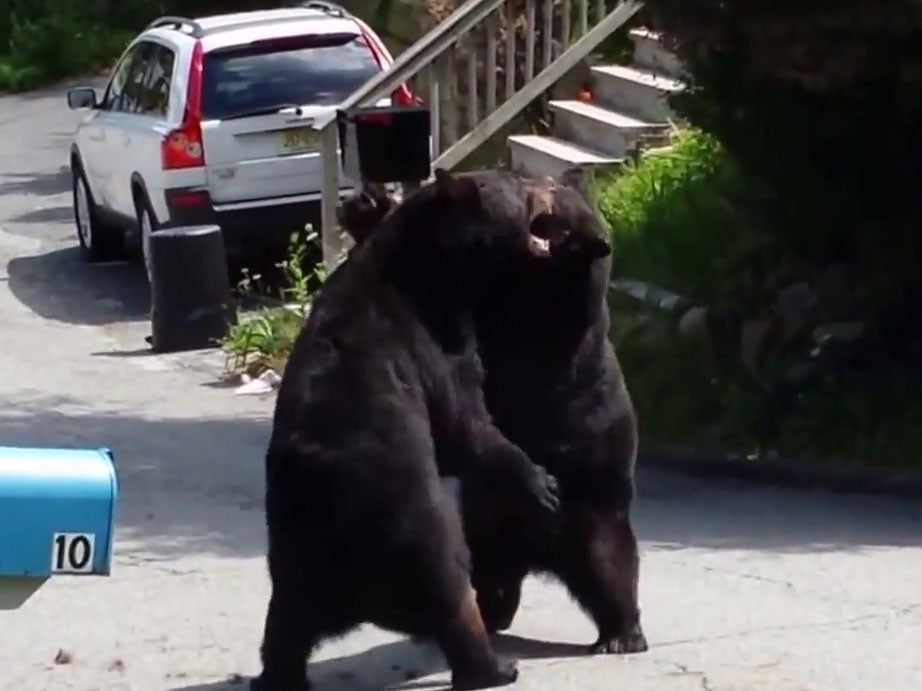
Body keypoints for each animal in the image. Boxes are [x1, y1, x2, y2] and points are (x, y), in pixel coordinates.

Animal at [255, 169, 564, 691]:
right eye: (517, 182)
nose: (549, 183)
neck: (437, 272)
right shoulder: (433, 344)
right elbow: (464, 425)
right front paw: (540, 481)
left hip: (292, 557)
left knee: (284, 627)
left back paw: (277, 677)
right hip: (417, 528)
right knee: (453, 592)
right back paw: (494, 668)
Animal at [338, 170, 648, 656]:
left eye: (555, 197)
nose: (536, 182)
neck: (542, 276)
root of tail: (543, 551)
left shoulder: (548, 320)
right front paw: (370, 206)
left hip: (592, 512)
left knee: (611, 567)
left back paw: (623, 633)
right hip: (487, 524)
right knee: (491, 576)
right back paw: (491, 613)